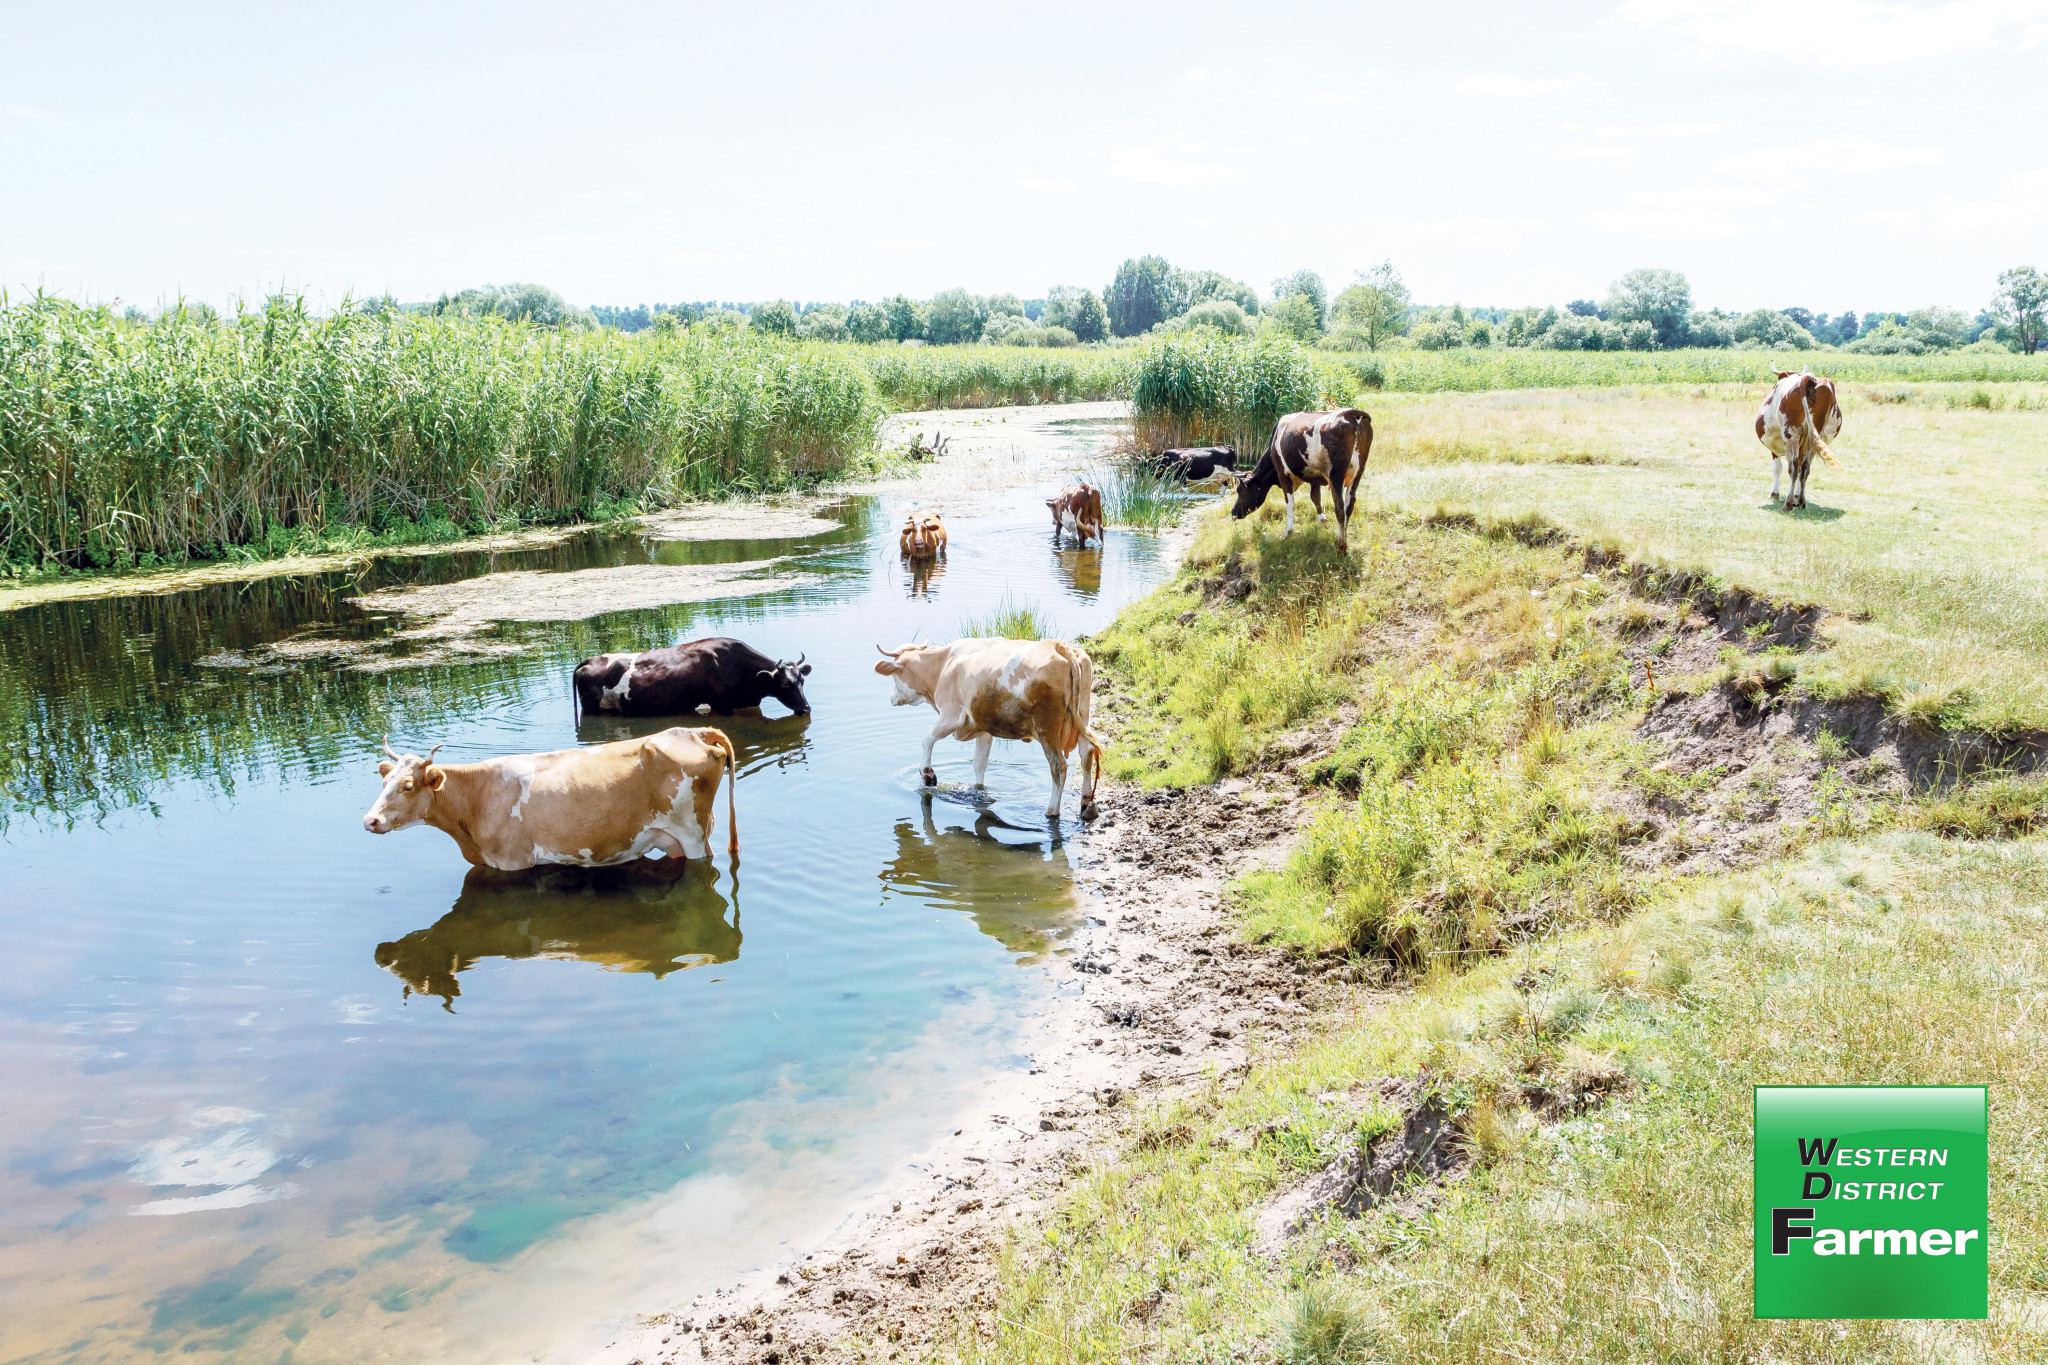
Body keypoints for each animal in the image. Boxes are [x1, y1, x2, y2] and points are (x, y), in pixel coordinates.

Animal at [364, 732, 741, 871]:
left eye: (408, 786)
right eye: (384, 782)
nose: (370, 820)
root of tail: (689, 732)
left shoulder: (514, 862)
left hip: (692, 834)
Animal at [573, 638, 811, 720]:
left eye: (802, 681)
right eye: (785, 684)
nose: (806, 708)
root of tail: (590, 659)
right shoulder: (723, 706)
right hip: (592, 709)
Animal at [876, 642, 1114, 822]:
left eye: (894, 677)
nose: (891, 697)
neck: (943, 665)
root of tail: (1056, 644)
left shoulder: (951, 716)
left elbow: (927, 739)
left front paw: (927, 774)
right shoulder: (983, 729)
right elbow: (979, 764)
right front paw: (979, 791)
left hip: (1047, 728)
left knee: (1059, 767)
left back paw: (1051, 812)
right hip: (1083, 714)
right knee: (1086, 754)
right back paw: (1085, 802)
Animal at [1228, 405, 1376, 556]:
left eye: (1239, 491)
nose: (1233, 512)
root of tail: (1349, 413)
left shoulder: (1282, 473)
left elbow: (1290, 502)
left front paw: (1287, 532)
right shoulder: (1314, 476)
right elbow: (1315, 497)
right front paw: (1322, 521)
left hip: (1336, 474)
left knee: (1339, 507)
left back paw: (1341, 546)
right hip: (1359, 471)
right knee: (1349, 505)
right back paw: (1345, 538)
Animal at [1753, 366, 1851, 509]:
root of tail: (1810, 379)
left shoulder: (1775, 446)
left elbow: (1777, 468)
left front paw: (1775, 493)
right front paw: (1797, 494)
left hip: (1791, 434)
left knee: (1793, 466)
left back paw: (1788, 503)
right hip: (1814, 438)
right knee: (1805, 466)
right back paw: (1801, 501)